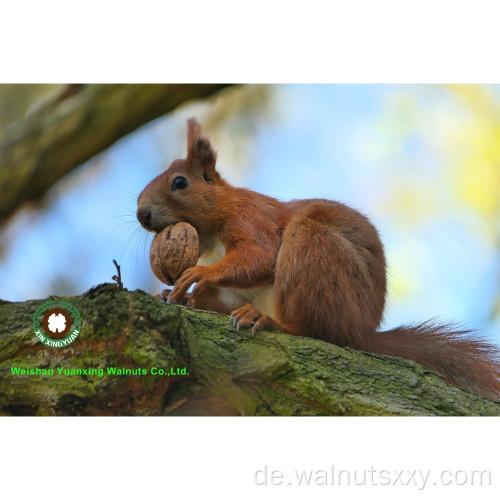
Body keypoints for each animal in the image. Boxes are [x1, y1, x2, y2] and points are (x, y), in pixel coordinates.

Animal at [137, 116, 500, 398]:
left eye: (179, 182)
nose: (141, 214)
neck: (210, 237)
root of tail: (362, 332)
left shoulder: (252, 218)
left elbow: (259, 256)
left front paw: (197, 277)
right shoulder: (229, 289)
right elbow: (223, 296)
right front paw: (177, 296)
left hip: (312, 249)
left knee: (316, 331)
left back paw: (269, 321)